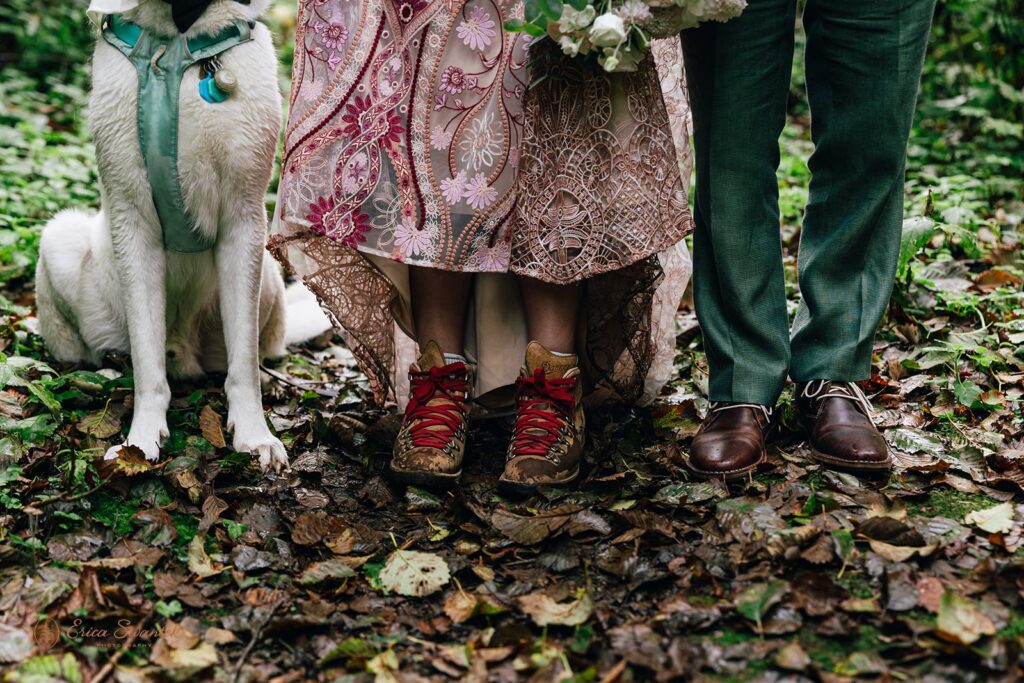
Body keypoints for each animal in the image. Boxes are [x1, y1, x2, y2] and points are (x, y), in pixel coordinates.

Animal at [35, 0, 319, 471]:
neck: (178, 37)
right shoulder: (133, 220)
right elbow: (148, 362)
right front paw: (140, 440)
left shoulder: (244, 220)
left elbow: (243, 362)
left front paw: (255, 435)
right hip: (58, 239)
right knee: (91, 354)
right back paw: (109, 365)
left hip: (267, 276)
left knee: (262, 350)